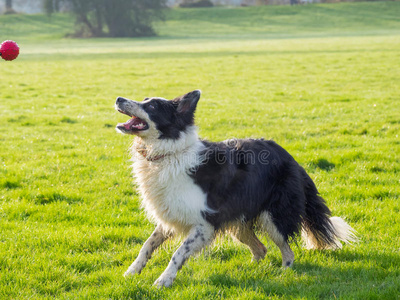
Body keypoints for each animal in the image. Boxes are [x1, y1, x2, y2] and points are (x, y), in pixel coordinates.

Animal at [115, 90, 356, 288]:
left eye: (153, 107)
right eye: (144, 99)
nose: (118, 98)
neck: (168, 152)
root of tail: (292, 158)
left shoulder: (204, 223)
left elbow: (178, 252)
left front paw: (164, 280)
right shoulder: (173, 214)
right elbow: (147, 245)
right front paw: (131, 272)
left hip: (272, 216)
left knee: (287, 251)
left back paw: (283, 272)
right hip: (239, 222)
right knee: (261, 249)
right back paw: (251, 271)